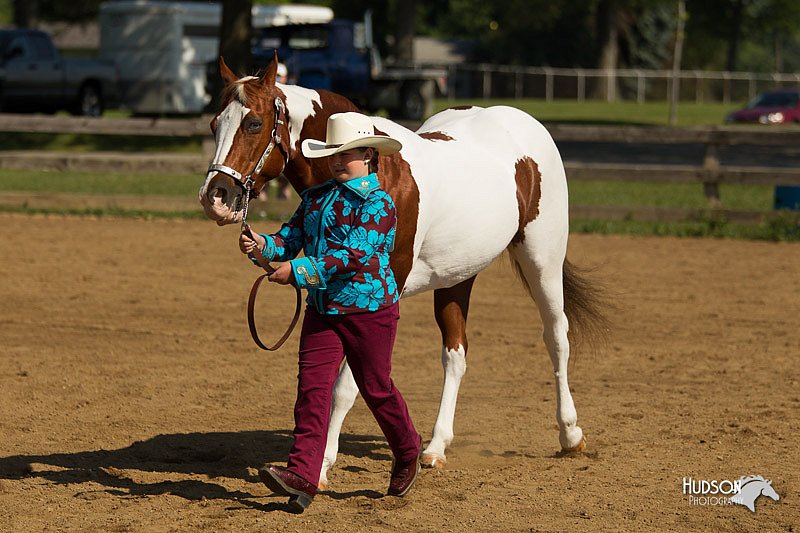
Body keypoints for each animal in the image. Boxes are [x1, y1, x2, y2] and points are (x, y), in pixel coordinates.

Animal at [197, 56, 604, 488]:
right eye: (214, 124)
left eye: (254, 123)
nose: (215, 197)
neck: (377, 172)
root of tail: (525, 125)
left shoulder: (372, 300)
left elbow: (347, 386)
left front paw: (321, 466)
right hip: (458, 276)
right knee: (455, 355)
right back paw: (436, 447)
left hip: (542, 259)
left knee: (556, 337)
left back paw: (570, 434)